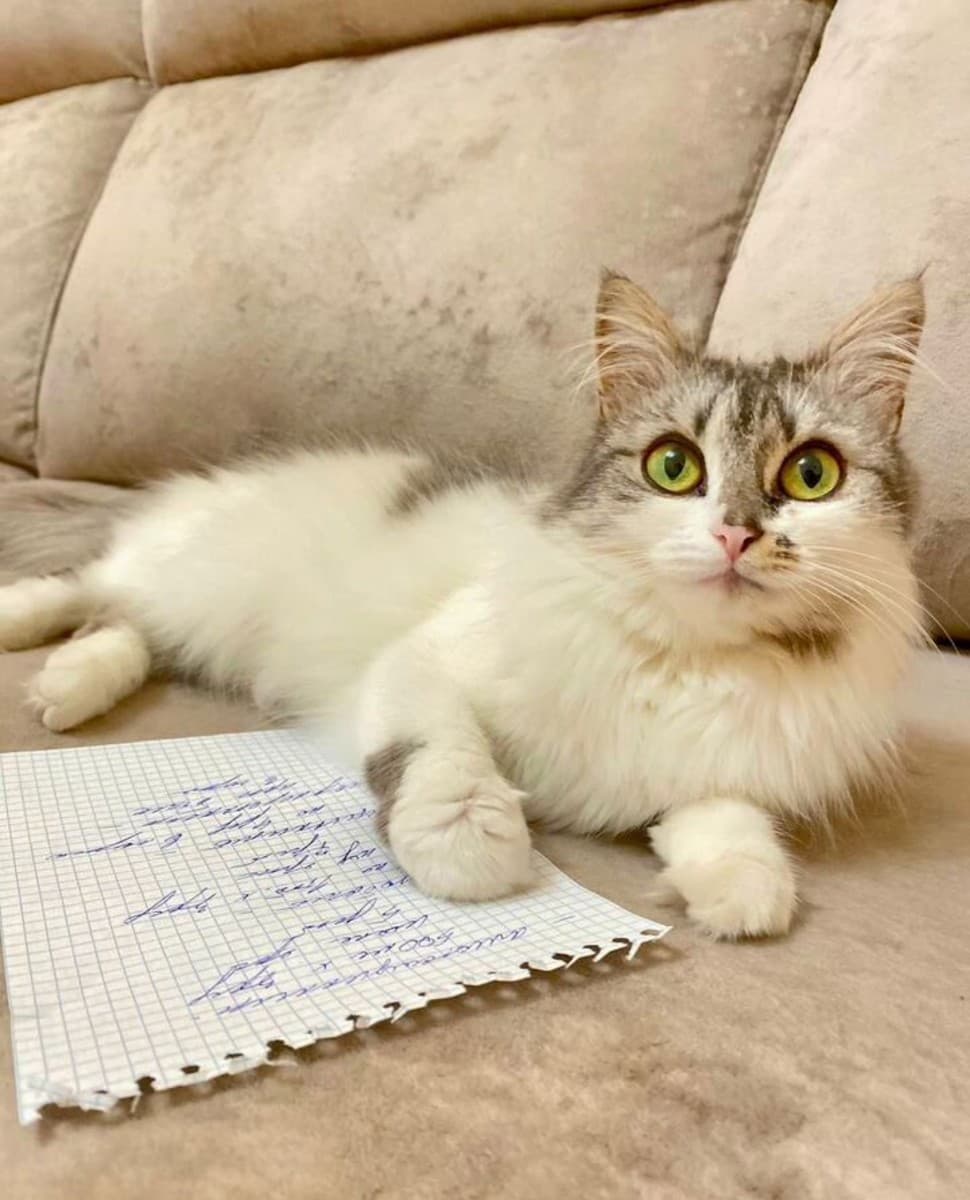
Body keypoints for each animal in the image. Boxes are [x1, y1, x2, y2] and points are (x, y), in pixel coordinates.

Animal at [0, 272, 926, 939]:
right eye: (674, 467)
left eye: (811, 475)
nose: (736, 533)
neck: (686, 658)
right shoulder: (423, 662)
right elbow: (441, 752)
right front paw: (473, 845)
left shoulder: (717, 769)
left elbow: (723, 818)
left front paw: (742, 888)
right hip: (191, 578)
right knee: (90, 585)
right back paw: (28, 640)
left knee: (121, 628)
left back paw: (65, 691)